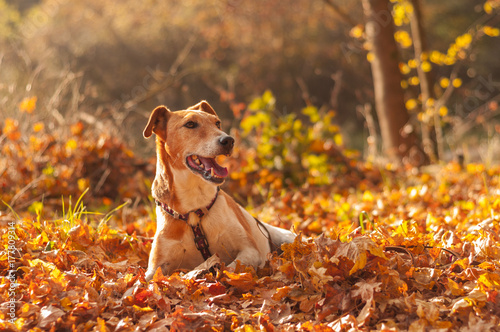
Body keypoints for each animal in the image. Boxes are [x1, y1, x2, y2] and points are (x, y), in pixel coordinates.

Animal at [143, 101, 294, 280]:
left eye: (217, 123)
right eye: (190, 124)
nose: (228, 140)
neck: (194, 205)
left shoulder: (250, 250)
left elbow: (229, 268)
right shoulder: (155, 267)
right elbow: (144, 281)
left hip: (287, 240)